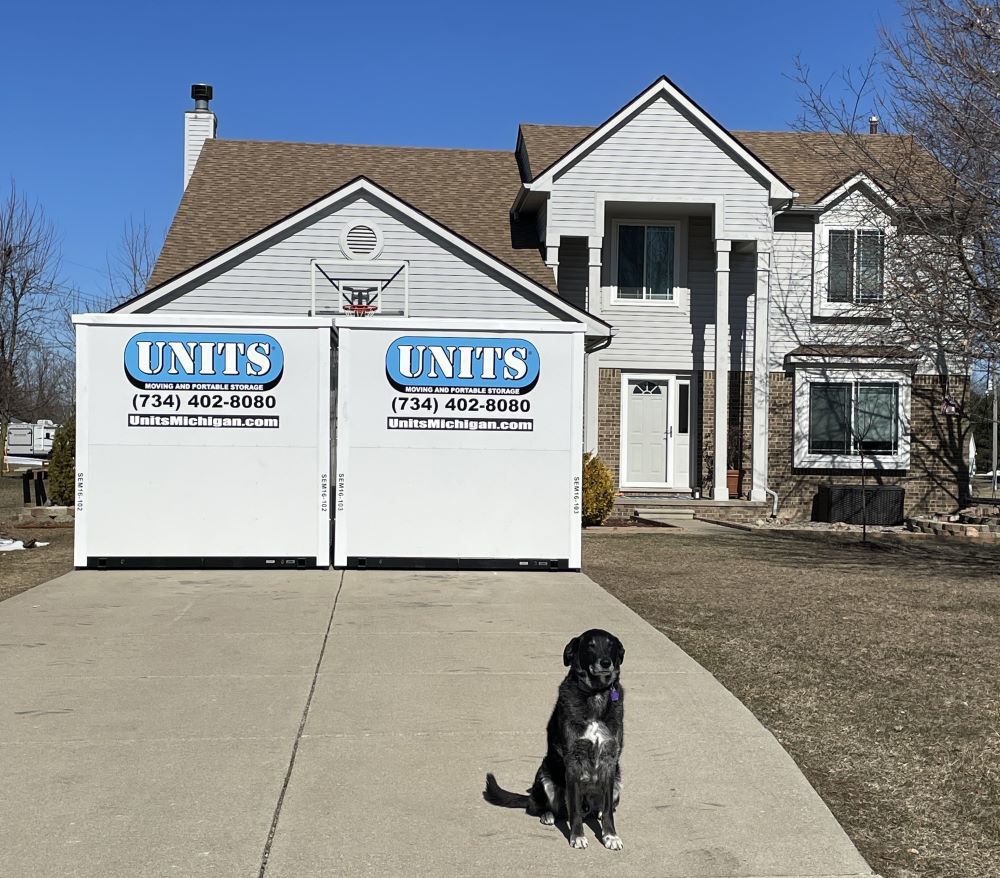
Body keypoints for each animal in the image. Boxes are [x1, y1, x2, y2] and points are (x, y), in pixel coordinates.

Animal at [484, 632, 624, 852]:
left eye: (611, 645)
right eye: (590, 646)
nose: (605, 662)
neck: (595, 695)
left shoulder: (610, 761)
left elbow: (609, 808)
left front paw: (610, 836)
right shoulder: (573, 762)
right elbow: (574, 809)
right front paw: (577, 837)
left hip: (618, 779)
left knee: (599, 808)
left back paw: (598, 813)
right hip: (544, 775)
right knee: (539, 807)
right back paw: (547, 815)